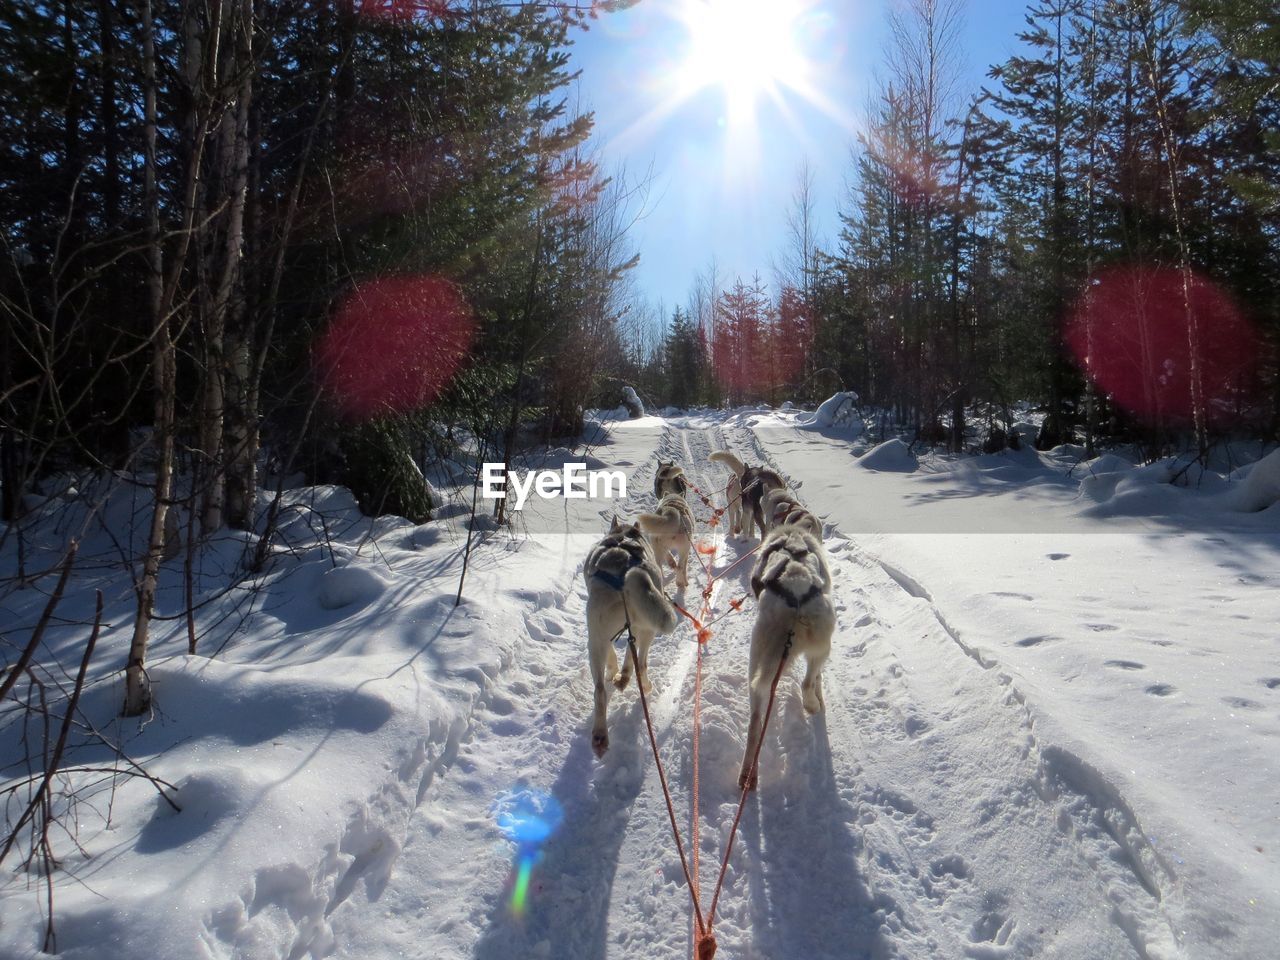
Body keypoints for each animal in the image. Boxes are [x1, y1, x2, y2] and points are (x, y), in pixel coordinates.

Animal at [583, 519, 680, 757]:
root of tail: (622, 574)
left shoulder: (606, 634)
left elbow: (616, 656)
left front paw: (616, 674)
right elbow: (629, 655)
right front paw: (622, 675)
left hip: (597, 638)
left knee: (600, 690)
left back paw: (600, 735)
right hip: (645, 629)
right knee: (641, 663)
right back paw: (642, 684)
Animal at [737, 527, 834, 788]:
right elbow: (818, 678)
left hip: (758, 663)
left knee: (754, 724)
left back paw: (748, 774)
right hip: (820, 645)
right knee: (807, 681)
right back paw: (812, 704)